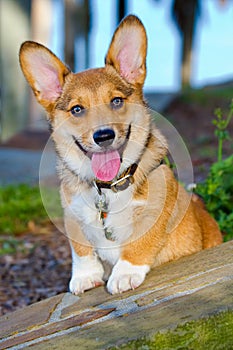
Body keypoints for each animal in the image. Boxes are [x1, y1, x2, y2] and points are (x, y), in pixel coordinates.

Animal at [18, 15, 222, 294]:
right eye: (77, 109)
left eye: (116, 101)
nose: (103, 136)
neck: (107, 187)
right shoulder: (72, 215)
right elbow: (80, 249)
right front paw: (85, 276)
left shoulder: (155, 212)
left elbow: (140, 241)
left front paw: (124, 273)